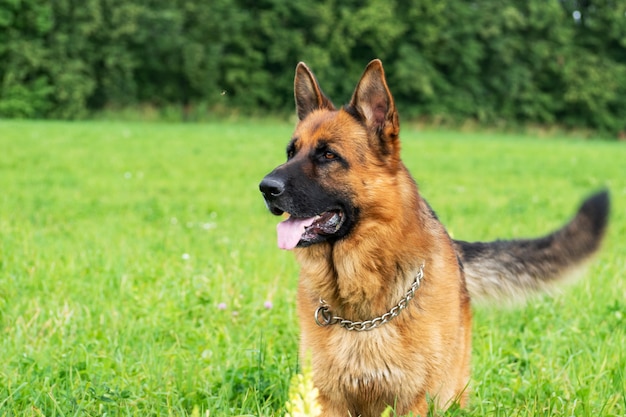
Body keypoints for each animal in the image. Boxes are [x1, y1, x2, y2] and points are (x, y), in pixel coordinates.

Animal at [256, 59, 608, 416]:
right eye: (290, 152)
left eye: (328, 155)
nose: (266, 188)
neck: (362, 313)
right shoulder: (327, 401)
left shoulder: (411, 402)